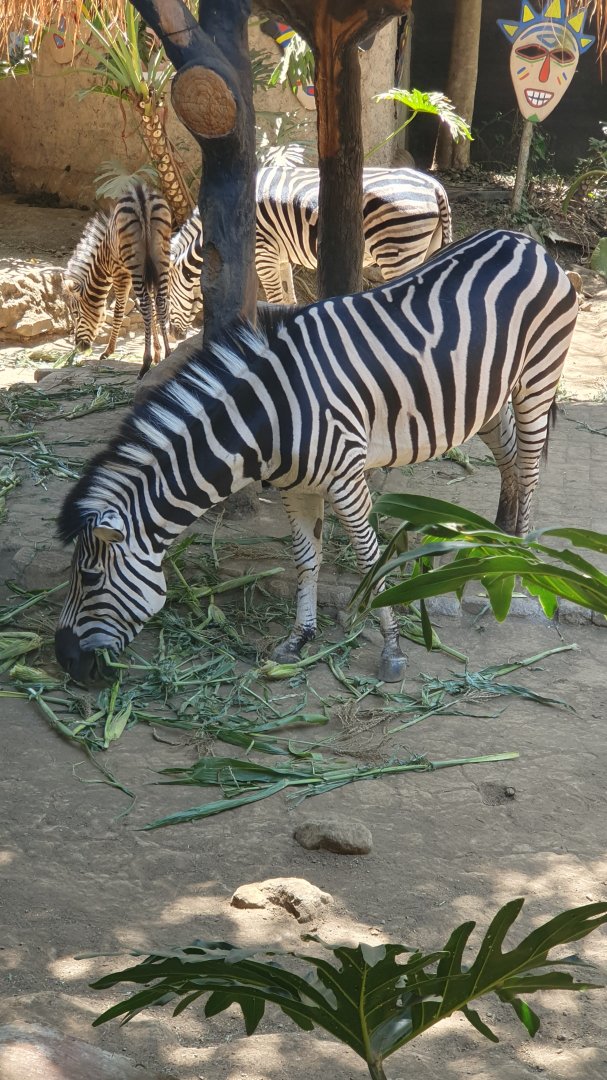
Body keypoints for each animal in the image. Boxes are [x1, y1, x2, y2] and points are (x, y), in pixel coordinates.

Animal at [55, 230, 578, 686]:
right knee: (509, 459)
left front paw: (392, 648)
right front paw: (299, 638)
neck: (269, 419)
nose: (66, 662)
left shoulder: (346, 479)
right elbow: (306, 557)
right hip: (483, 394)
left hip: (537, 377)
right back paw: (497, 541)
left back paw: (520, 557)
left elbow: (370, 560)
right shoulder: (296, 486)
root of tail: (526, 242)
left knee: (530, 467)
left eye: (89, 578)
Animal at [64, 183, 172, 379]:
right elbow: (154, 307)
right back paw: (168, 354)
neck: (103, 258)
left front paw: (108, 351)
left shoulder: (120, 272)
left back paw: (145, 364)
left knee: (145, 304)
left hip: (135, 264)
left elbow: (119, 309)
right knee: (160, 301)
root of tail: (141, 195)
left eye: (75, 314)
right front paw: (158, 353)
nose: (79, 347)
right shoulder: (147, 272)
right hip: (162, 257)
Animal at [168, 166, 453, 336]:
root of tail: (434, 186)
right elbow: (288, 299)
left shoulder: (263, 253)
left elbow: (276, 298)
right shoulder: (280, 256)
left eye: (168, 294)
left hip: (398, 251)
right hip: (426, 247)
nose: (172, 334)